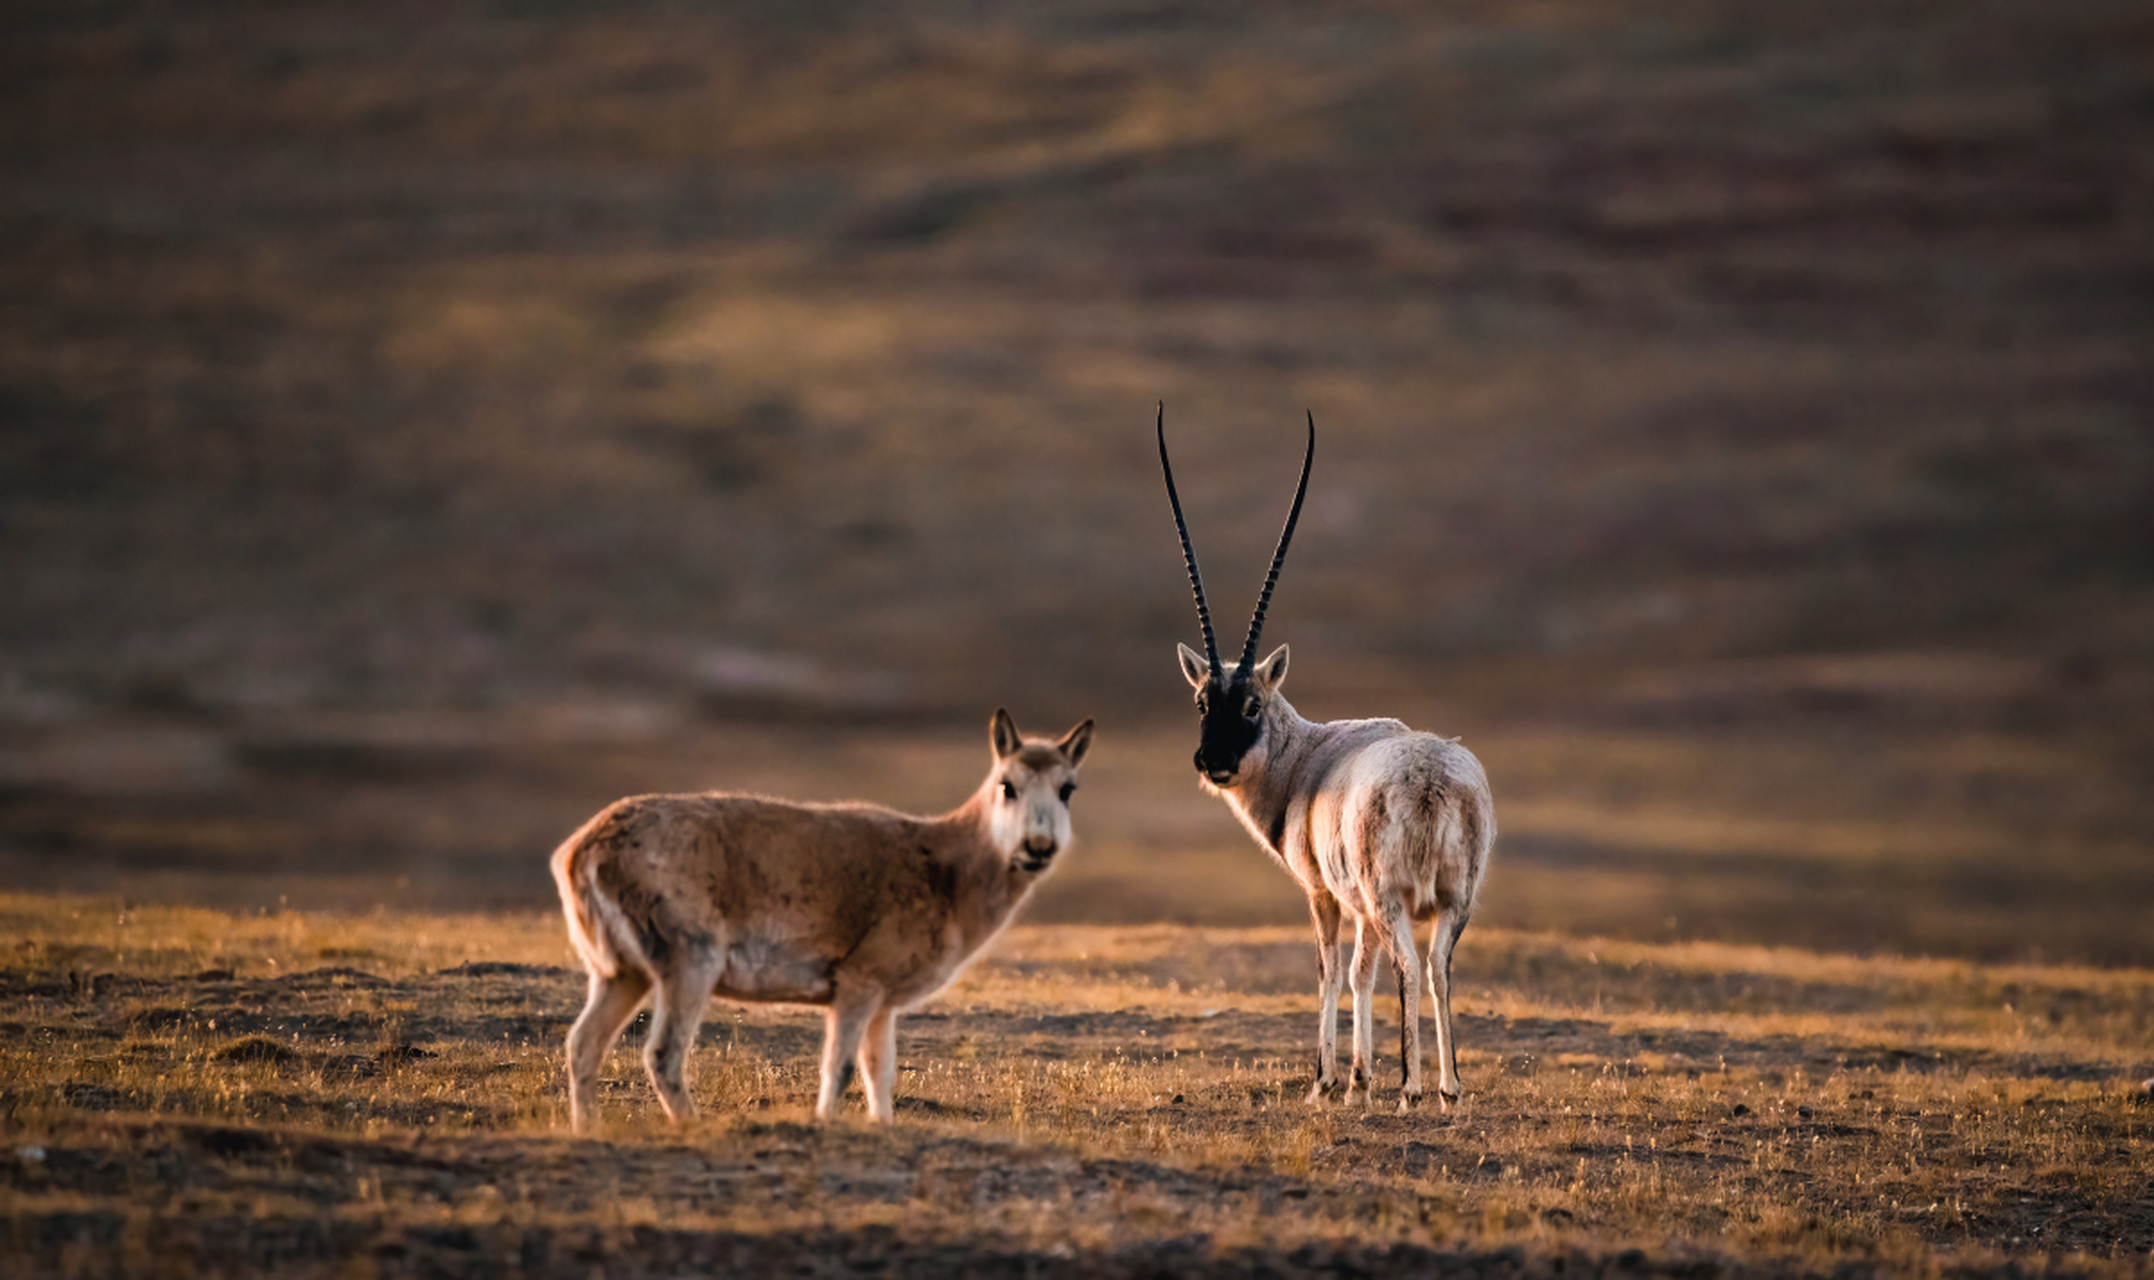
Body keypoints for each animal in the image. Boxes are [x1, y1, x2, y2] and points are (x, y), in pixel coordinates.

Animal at [551, 706, 1094, 1129]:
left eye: (1068, 788)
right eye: (1007, 785)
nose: (1038, 846)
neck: (947, 871)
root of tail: (579, 851)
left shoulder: (884, 1002)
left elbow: (881, 1070)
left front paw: (881, 1125)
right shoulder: (858, 981)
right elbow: (840, 1067)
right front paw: (826, 1123)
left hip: (621, 973)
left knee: (583, 1043)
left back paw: (587, 1128)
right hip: (690, 959)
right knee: (662, 1053)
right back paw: (692, 1125)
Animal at [1163, 409, 1499, 1103]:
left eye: (1252, 704)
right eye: (1204, 700)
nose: (1214, 762)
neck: (1307, 759)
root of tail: (1432, 781)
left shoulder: (1326, 894)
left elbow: (1330, 971)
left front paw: (1328, 1082)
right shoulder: (1360, 907)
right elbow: (1360, 974)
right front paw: (1358, 1082)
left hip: (1390, 898)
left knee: (1407, 964)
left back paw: (1412, 1088)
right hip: (1454, 901)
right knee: (1437, 968)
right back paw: (1449, 1088)